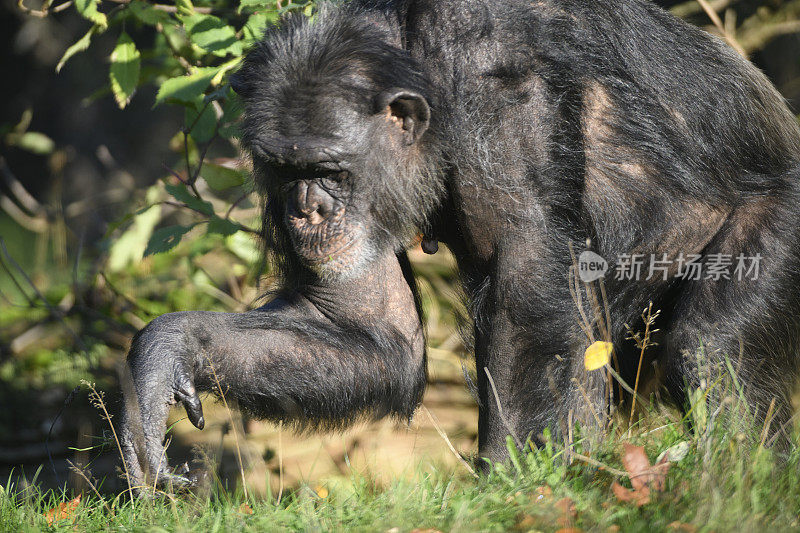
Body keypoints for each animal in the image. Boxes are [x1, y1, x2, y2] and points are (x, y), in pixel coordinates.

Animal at [119, 0, 800, 484]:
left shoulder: (500, 85)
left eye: (330, 169)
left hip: (783, 218)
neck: (417, 51)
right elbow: (370, 331)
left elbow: (530, 286)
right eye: (285, 169)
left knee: (710, 347)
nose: (306, 209)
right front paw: (165, 356)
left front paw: (519, 488)